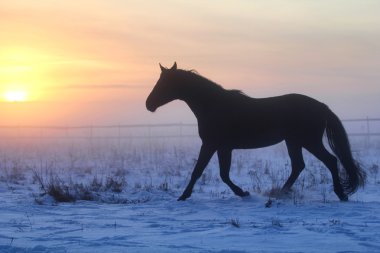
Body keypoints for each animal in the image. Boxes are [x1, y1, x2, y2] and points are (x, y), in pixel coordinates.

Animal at [145, 62, 366, 202]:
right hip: (293, 142)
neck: (214, 105)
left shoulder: (211, 144)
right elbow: (223, 174)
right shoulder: (223, 147)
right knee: (298, 166)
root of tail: (321, 106)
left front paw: (183, 196)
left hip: (309, 141)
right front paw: (243, 193)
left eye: (165, 83)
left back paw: (341, 194)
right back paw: (280, 193)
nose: (149, 104)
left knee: (330, 161)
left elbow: (199, 171)